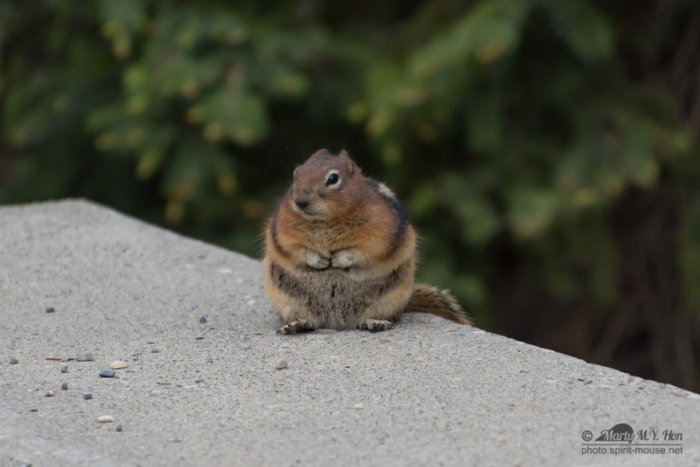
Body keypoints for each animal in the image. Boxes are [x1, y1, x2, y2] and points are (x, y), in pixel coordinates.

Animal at [262, 149, 471, 334]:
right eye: (296, 174)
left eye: (333, 179)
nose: (300, 201)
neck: (325, 222)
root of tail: (336, 323)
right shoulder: (282, 229)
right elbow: (293, 248)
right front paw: (317, 259)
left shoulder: (380, 229)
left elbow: (368, 249)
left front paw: (342, 258)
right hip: (287, 301)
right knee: (309, 320)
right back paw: (297, 324)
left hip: (389, 300)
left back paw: (375, 322)